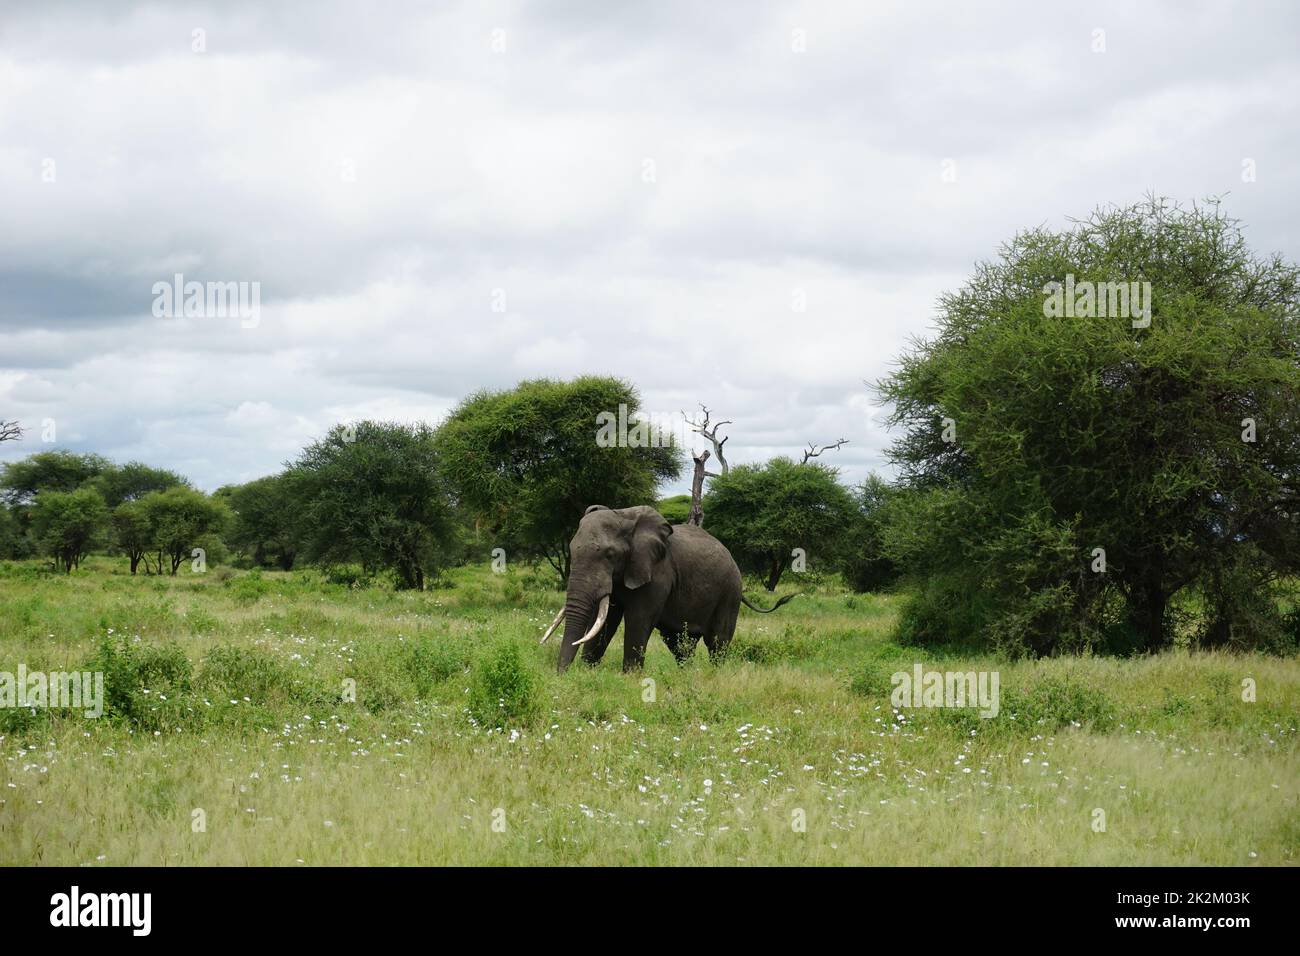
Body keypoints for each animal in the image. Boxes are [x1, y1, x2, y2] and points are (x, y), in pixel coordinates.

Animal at [538, 502, 790, 671]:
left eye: (610, 555)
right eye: (571, 550)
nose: (561, 675)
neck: (624, 515)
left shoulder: (657, 573)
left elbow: (638, 619)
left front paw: (630, 677)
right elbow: (605, 620)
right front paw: (588, 670)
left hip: (730, 592)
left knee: (717, 642)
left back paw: (714, 675)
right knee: (679, 643)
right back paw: (686, 675)